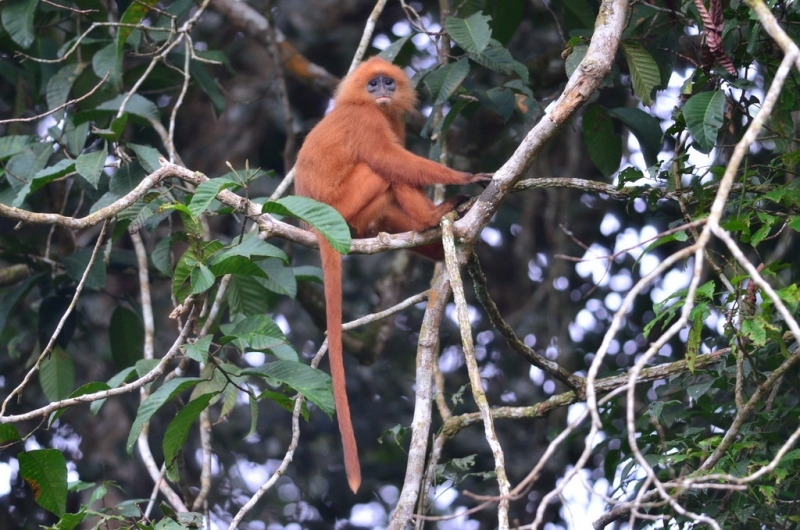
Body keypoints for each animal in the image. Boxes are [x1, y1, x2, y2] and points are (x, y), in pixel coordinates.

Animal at [294, 55, 488, 488]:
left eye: (387, 83)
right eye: (372, 85)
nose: (382, 91)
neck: (368, 106)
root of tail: (316, 226)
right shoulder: (366, 120)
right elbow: (391, 160)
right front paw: (467, 177)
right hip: (346, 204)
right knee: (383, 169)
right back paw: (433, 216)